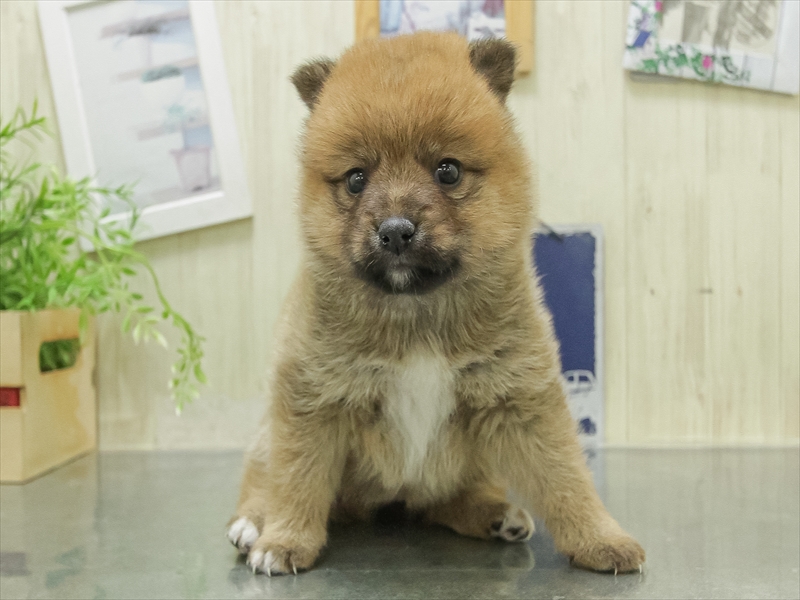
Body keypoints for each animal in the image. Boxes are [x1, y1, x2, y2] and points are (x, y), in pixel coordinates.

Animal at [227, 32, 645, 576]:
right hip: (269, 433)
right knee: (263, 476)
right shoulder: (313, 399)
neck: (417, 312)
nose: (394, 230)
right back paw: (253, 522)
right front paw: (285, 538)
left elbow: (565, 476)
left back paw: (493, 513)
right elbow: (298, 476)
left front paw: (600, 537)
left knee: (448, 500)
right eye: (357, 179)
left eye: (447, 171)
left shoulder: (521, 400)